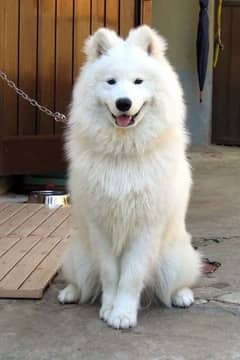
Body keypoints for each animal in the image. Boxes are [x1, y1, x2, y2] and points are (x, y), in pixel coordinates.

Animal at [58, 25, 201, 330]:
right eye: (111, 82)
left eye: (138, 81)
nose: (123, 104)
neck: (124, 153)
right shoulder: (101, 226)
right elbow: (110, 275)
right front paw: (109, 307)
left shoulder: (146, 226)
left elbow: (131, 276)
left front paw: (122, 313)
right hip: (78, 255)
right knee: (84, 283)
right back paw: (70, 293)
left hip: (175, 259)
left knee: (174, 284)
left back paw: (181, 296)